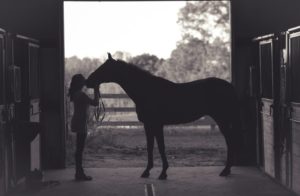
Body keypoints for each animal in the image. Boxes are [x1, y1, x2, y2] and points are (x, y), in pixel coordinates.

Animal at [85, 52, 243, 180]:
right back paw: (227, 170)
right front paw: (147, 171)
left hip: (222, 120)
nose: (88, 81)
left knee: (231, 141)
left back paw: (225, 170)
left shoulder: (156, 124)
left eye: (104, 68)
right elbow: (150, 147)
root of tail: (230, 87)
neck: (147, 91)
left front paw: (163, 173)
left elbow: (161, 147)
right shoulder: (148, 125)